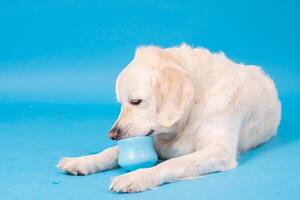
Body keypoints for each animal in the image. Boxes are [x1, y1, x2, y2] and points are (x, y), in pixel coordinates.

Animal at [56, 44, 282, 193]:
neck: (195, 105)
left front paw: (136, 176)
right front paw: (83, 161)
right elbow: (110, 152)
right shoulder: (156, 139)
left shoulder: (219, 151)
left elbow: (170, 164)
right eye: (120, 103)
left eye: (136, 101)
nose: (112, 135)